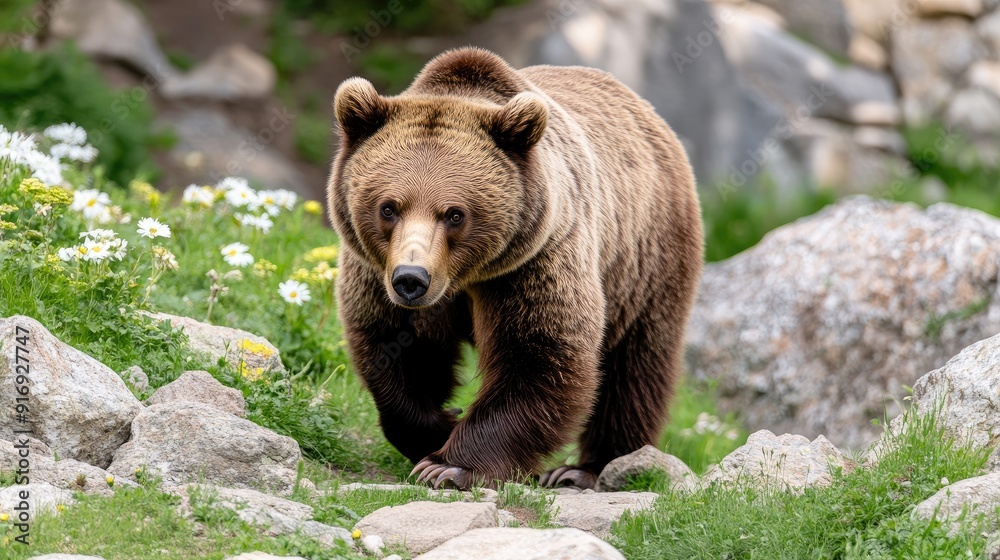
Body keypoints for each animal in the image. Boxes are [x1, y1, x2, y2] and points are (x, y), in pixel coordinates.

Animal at [328, 47, 703, 490]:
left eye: (454, 214)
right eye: (388, 207)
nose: (411, 280)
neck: (465, 277)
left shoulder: (533, 262)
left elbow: (540, 355)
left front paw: (450, 466)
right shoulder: (376, 271)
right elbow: (395, 347)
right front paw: (437, 427)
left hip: (646, 258)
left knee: (635, 367)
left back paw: (585, 468)